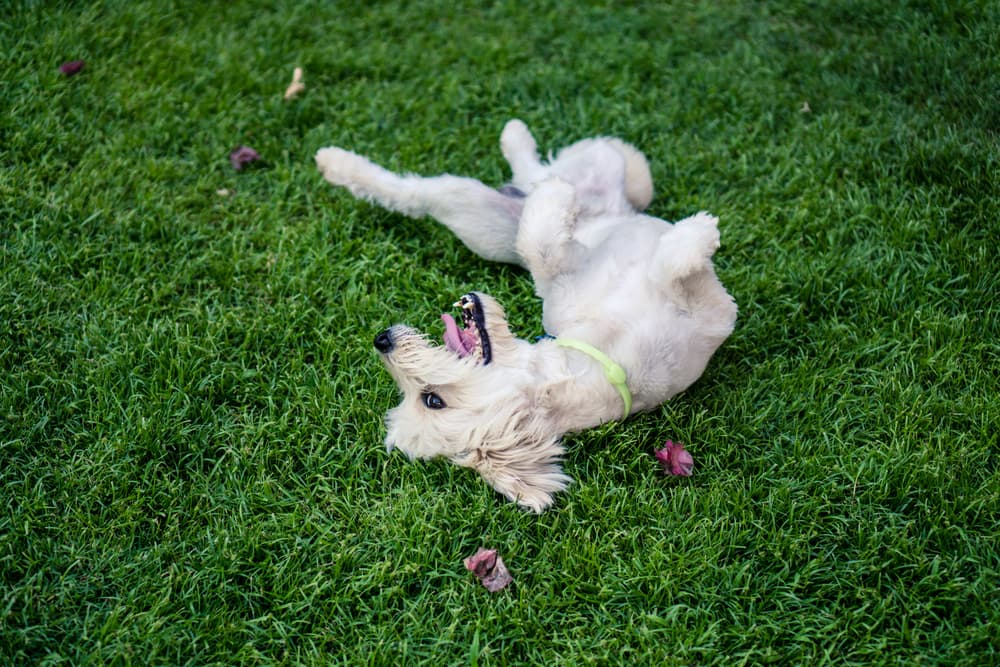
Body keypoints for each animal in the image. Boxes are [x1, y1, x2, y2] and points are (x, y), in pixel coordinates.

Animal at [316, 118, 740, 512]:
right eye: (430, 399)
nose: (382, 340)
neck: (596, 359)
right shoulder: (716, 310)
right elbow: (554, 250)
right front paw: (697, 235)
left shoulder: (570, 280)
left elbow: (542, 247)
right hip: (479, 222)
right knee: (418, 194)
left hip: (500, 209)